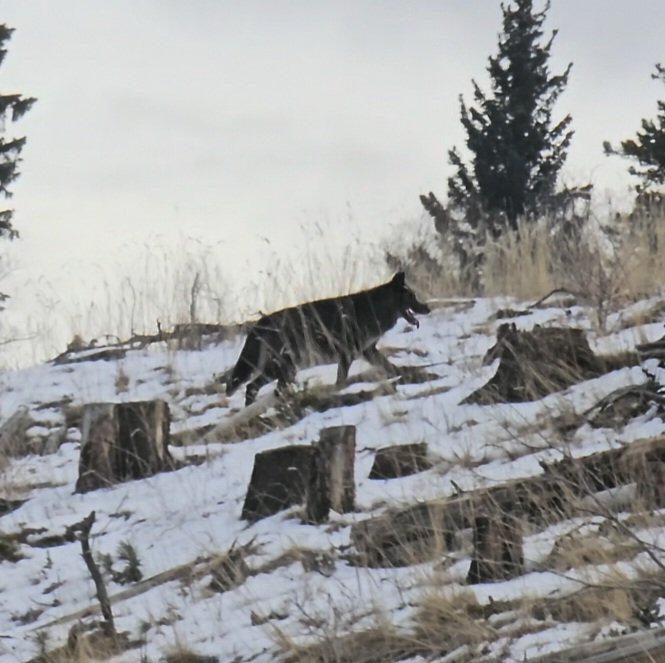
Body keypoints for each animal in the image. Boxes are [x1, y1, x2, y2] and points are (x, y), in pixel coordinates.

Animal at [225, 272, 430, 406]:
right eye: (412, 295)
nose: (428, 308)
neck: (372, 308)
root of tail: (259, 323)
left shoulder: (368, 351)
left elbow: (390, 366)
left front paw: (407, 373)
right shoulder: (347, 356)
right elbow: (340, 381)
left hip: (280, 369)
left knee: (254, 387)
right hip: (285, 369)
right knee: (256, 387)